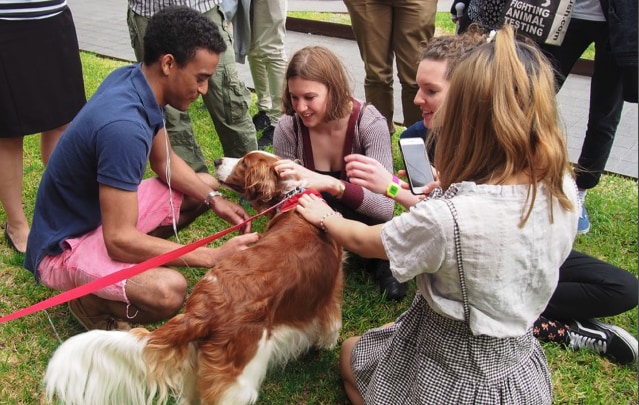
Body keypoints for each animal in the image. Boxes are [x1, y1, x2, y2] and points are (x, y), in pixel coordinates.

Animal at [45, 151, 344, 400]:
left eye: (244, 163)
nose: (217, 160)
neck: (293, 199)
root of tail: (202, 310)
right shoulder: (329, 293)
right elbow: (330, 323)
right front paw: (328, 344)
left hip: (195, 366)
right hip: (238, 379)